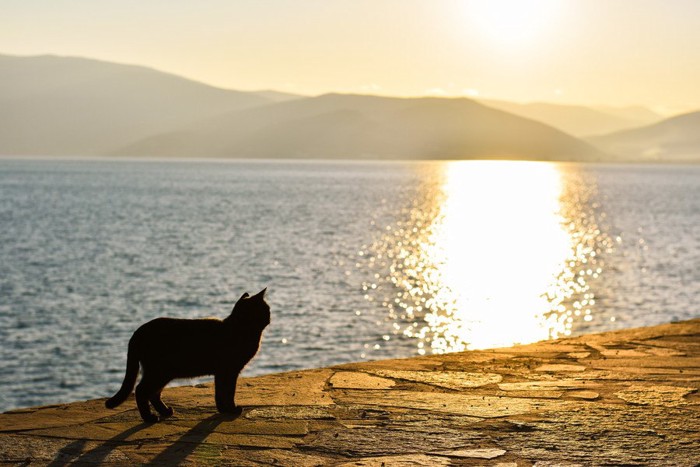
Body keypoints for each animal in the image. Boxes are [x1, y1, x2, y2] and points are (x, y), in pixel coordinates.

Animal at [105, 288, 270, 424]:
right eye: (266, 309)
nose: (270, 318)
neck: (239, 328)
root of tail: (137, 331)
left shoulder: (221, 372)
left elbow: (219, 393)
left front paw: (223, 410)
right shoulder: (229, 371)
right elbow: (229, 392)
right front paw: (232, 409)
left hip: (163, 373)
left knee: (154, 394)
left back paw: (165, 411)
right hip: (159, 372)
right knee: (141, 391)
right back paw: (149, 417)